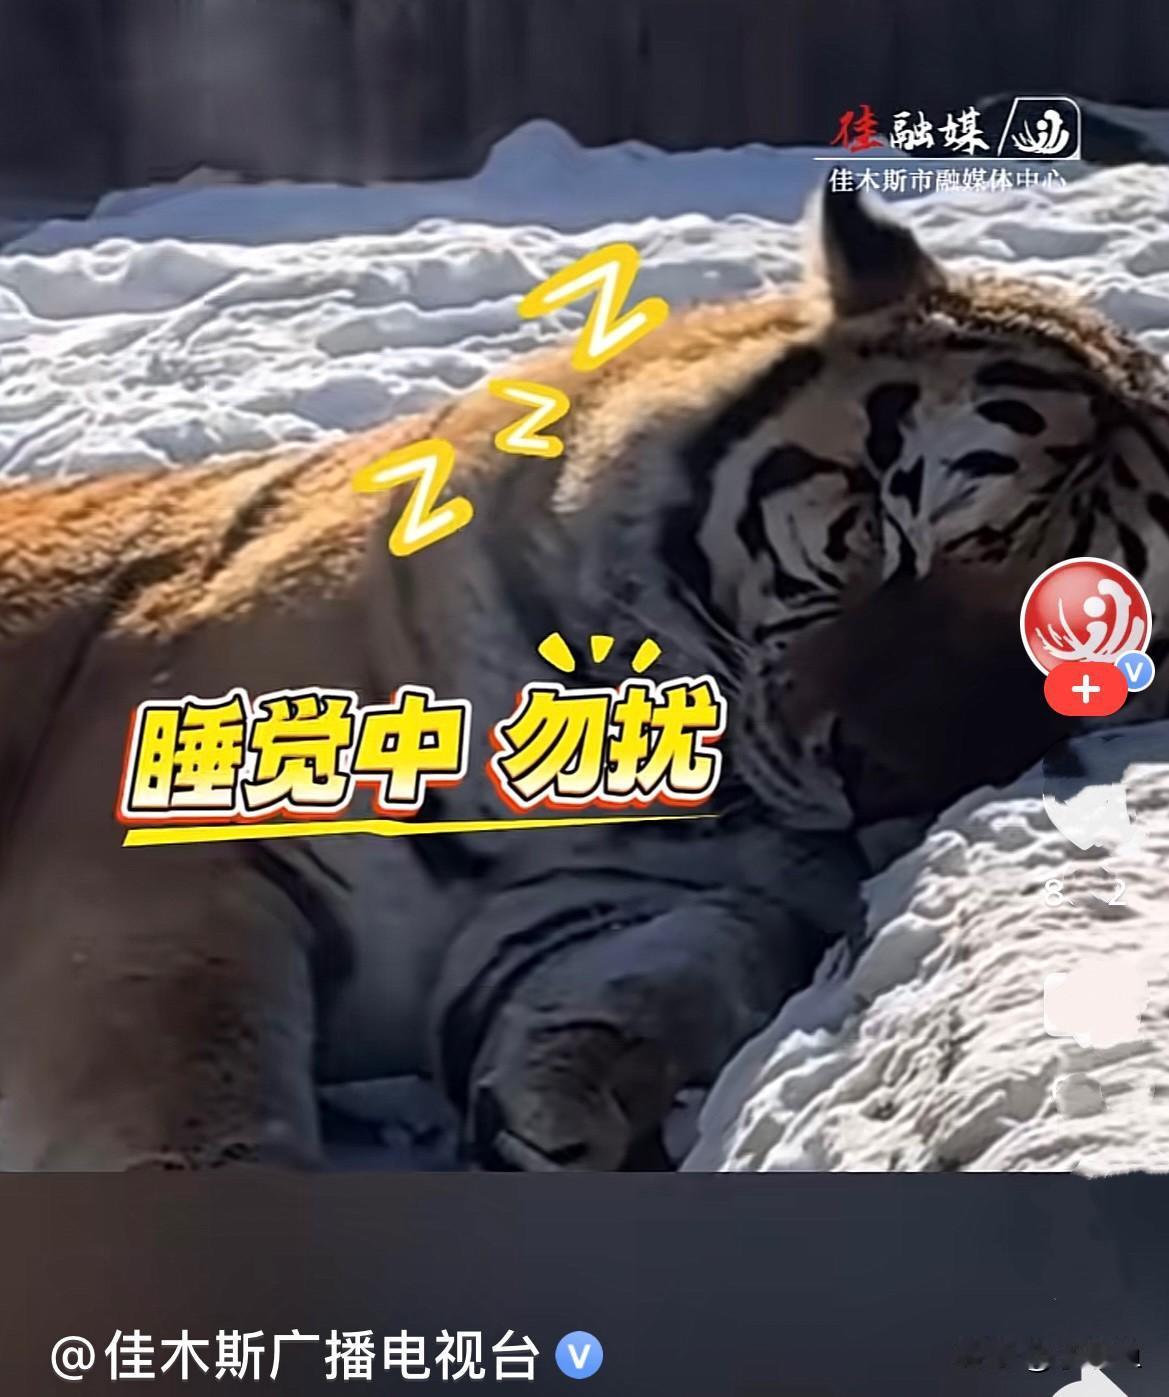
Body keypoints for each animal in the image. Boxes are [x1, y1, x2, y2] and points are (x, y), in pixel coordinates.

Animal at [1, 186, 1167, 1172]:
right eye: (887, 535)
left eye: (1083, 667)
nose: (876, 780)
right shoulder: (155, 865)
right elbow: (194, 1098)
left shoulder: (608, 897)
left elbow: (691, 950)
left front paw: (565, 1092)